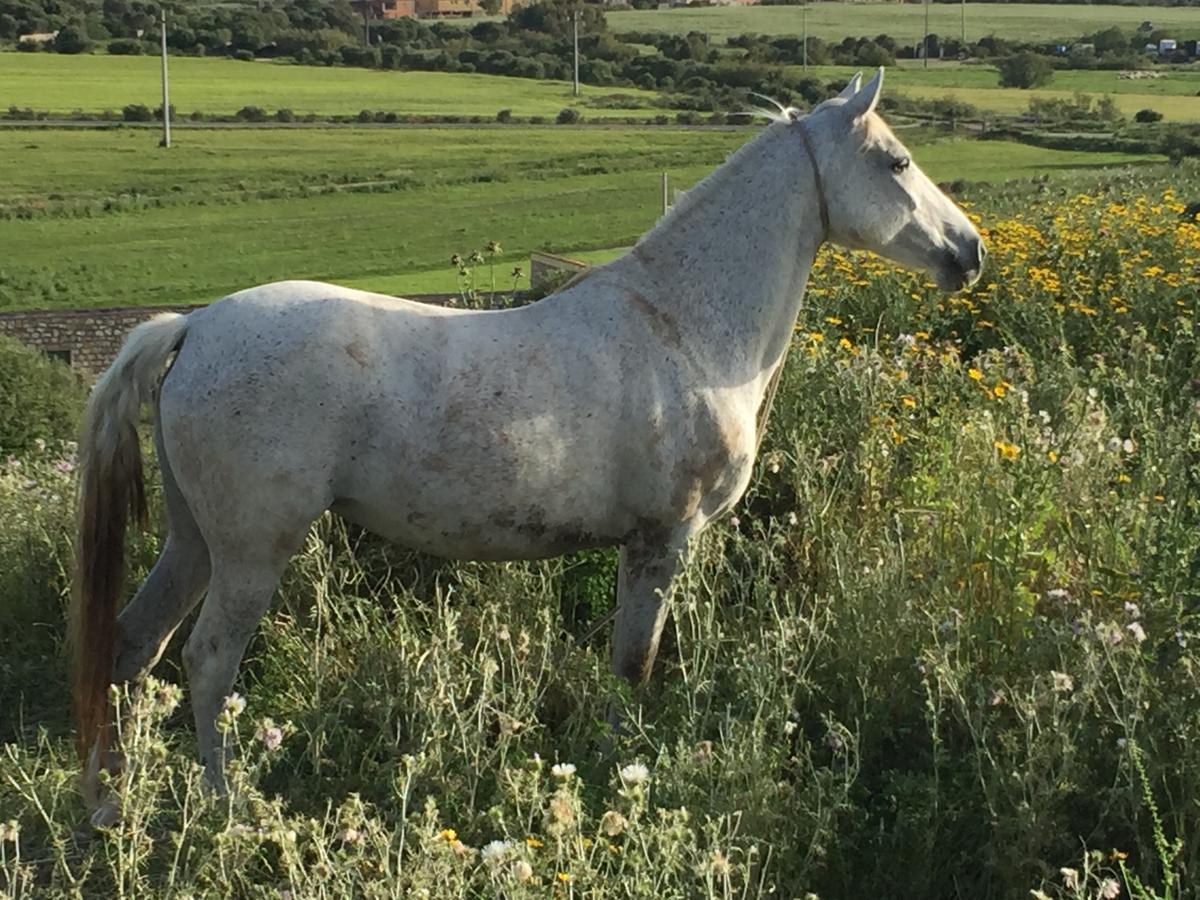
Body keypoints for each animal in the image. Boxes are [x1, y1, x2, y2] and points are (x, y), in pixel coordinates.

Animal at [75, 66, 984, 806]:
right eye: (897, 162)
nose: (969, 250)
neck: (684, 329)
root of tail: (194, 328)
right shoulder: (663, 539)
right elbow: (633, 667)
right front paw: (623, 771)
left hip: (195, 540)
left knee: (134, 643)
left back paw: (112, 803)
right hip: (252, 551)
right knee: (205, 662)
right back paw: (223, 805)